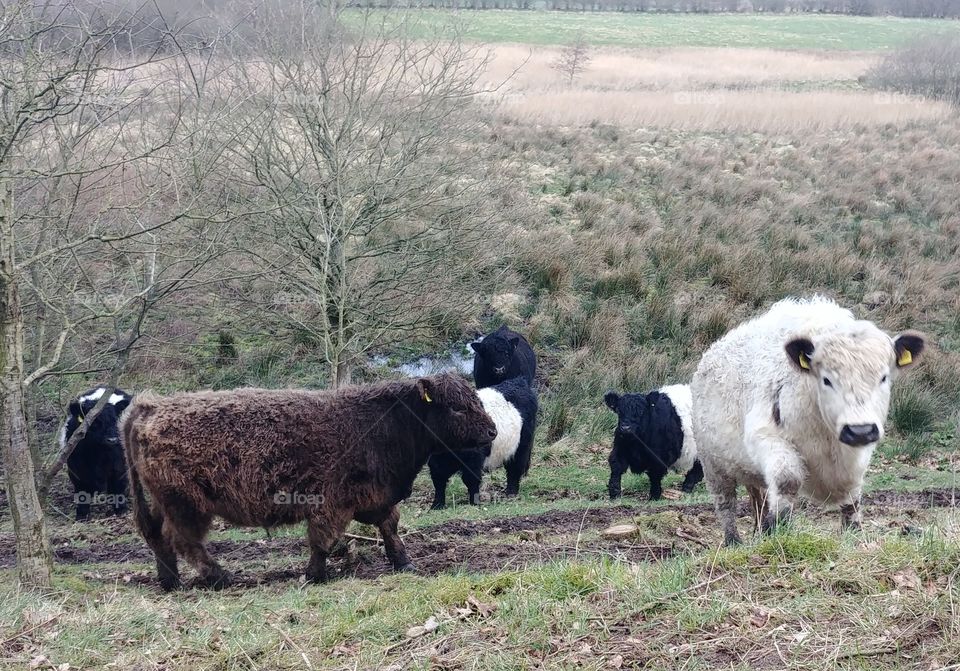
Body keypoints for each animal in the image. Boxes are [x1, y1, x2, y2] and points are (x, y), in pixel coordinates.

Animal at [59, 386, 133, 521]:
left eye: (116, 419)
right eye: (94, 422)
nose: (112, 440)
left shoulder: (118, 467)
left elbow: (117, 487)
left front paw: (121, 510)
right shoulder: (76, 470)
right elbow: (82, 493)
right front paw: (81, 516)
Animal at [122, 374, 497, 590]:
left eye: (476, 400)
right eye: (457, 408)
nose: (493, 430)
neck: (381, 427)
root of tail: (149, 406)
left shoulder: (376, 495)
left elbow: (390, 526)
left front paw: (403, 562)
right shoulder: (333, 501)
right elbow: (323, 540)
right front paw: (315, 575)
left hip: (164, 502)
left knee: (158, 538)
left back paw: (170, 582)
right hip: (187, 504)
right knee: (184, 541)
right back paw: (221, 577)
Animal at [428, 376, 538, 509]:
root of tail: (518, 381)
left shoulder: (474, 459)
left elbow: (470, 479)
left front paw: (474, 502)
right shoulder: (435, 461)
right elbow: (438, 480)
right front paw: (437, 505)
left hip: (521, 446)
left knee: (515, 468)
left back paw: (511, 493)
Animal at [691, 296, 925, 546]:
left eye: (883, 377)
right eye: (827, 379)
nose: (859, 430)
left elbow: (852, 495)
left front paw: (852, 532)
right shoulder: (766, 436)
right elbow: (787, 481)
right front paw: (777, 530)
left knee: (758, 499)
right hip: (714, 466)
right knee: (726, 503)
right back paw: (733, 540)